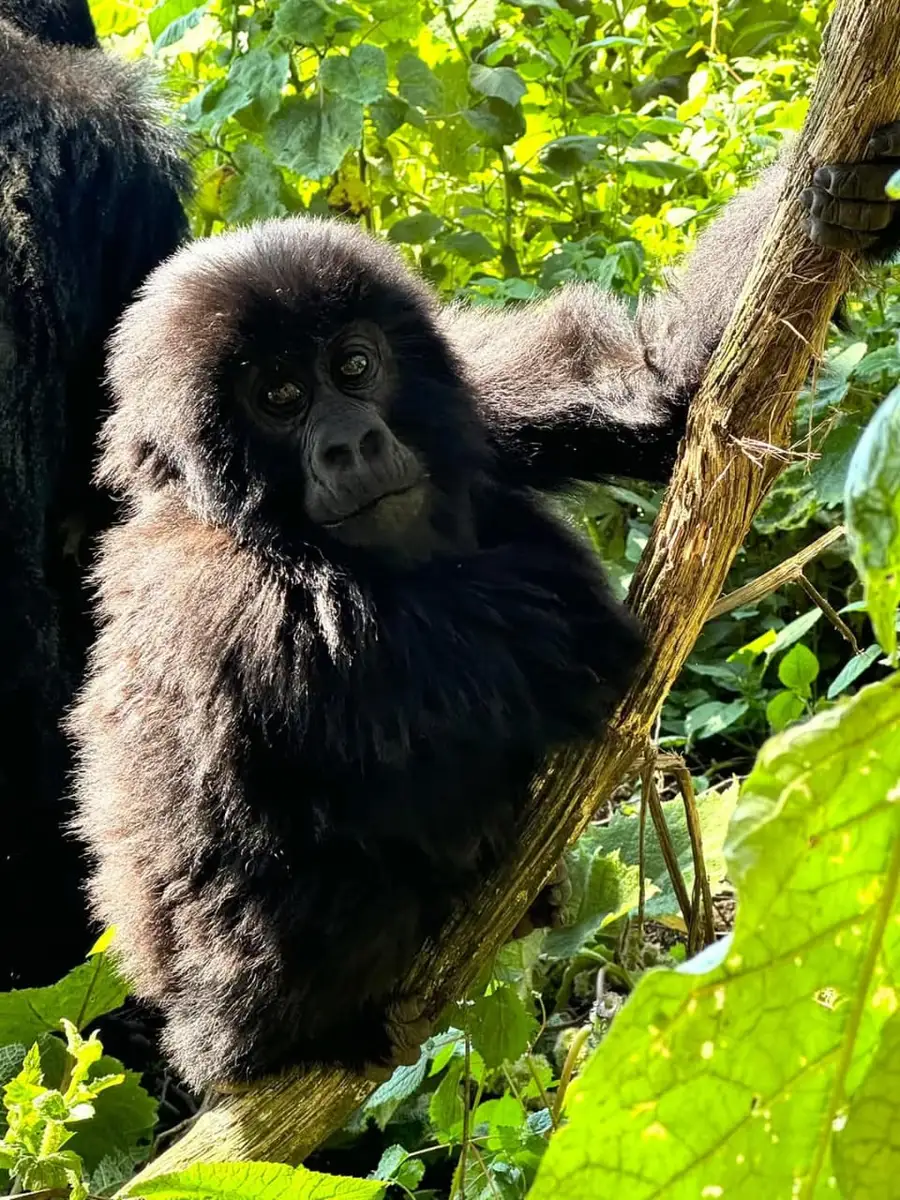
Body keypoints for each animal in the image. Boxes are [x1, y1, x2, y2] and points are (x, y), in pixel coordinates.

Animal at [67, 126, 900, 1090]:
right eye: (277, 398)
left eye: (354, 367)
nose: (352, 444)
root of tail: (203, 1041)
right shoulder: (214, 596)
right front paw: (570, 614)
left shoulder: (472, 397)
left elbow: (665, 389)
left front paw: (847, 203)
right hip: (251, 991)